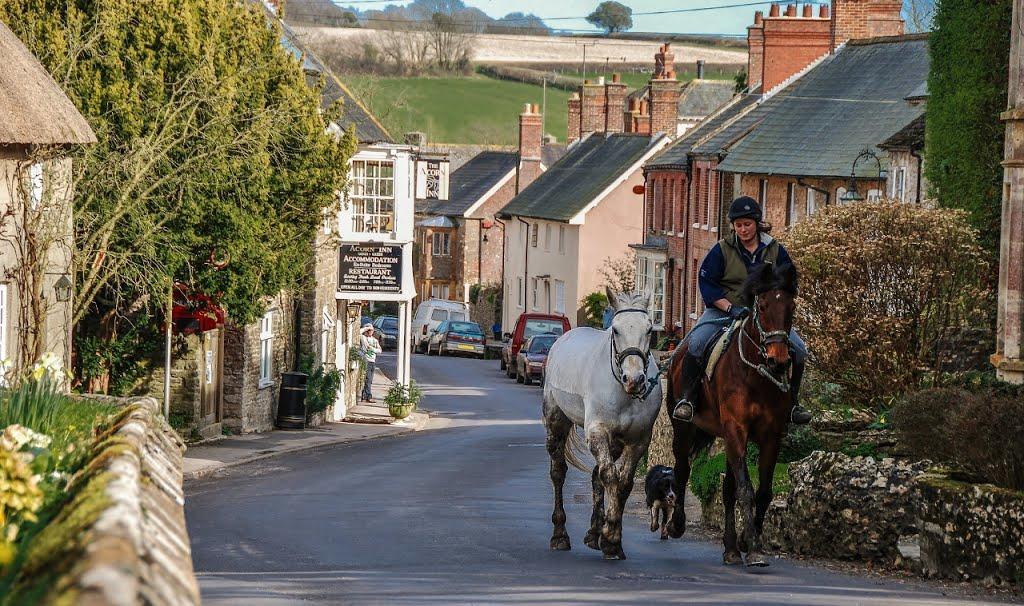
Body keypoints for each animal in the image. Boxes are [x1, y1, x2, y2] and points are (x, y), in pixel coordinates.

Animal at [544, 286, 663, 556]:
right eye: (616, 329)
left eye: (649, 329)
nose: (634, 380)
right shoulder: (597, 431)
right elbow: (609, 476)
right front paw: (610, 537)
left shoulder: (638, 441)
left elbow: (623, 483)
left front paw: (612, 537)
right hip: (556, 421)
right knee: (558, 472)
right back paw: (559, 535)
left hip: (615, 442)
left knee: (595, 476)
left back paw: (593, 533)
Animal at [663, 262, 798, 565]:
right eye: (762, 305)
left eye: (792, 307)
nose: (779, 360)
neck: (756, 376)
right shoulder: (736, 429)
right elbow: (745, 490)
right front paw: (755, 548)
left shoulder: (770, 437)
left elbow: (762, 492)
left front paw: (750, 541)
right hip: (683, 429)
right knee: (682, 469)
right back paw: (677, 524)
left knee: (726, 489)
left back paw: (731, 548)